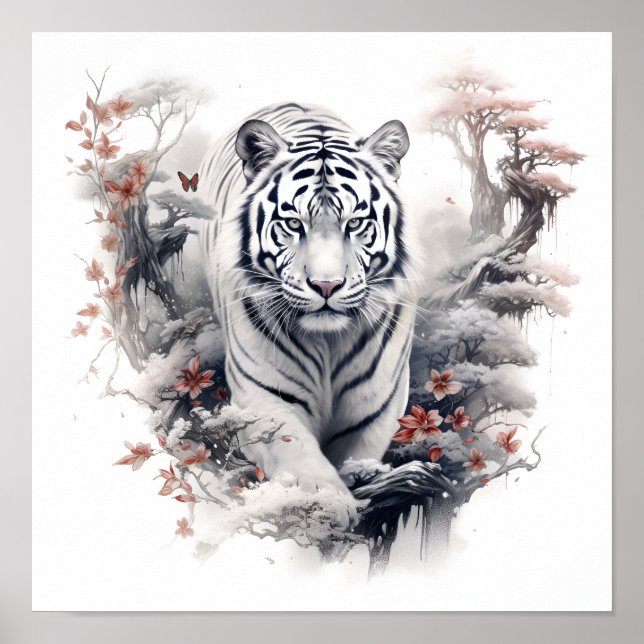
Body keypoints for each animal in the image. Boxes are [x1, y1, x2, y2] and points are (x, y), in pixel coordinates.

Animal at [199, 103, 417, 526]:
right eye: (293, 223)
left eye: (355, 223)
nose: (326, 286)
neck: (328, 341)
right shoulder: (262, 398)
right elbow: (296, 451)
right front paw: (329, 502)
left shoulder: (374, 407)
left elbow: (356, 455)